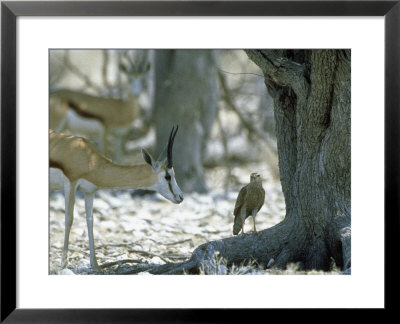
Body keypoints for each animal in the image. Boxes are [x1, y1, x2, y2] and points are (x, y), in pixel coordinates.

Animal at [48, 125, 184, 272]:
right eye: (167, 176)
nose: (180, 196)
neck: (90, 159)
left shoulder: (89, 192)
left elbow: (90, 221)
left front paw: (95, 265)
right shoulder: (70, 184)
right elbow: (69, 219)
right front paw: (63, 264)